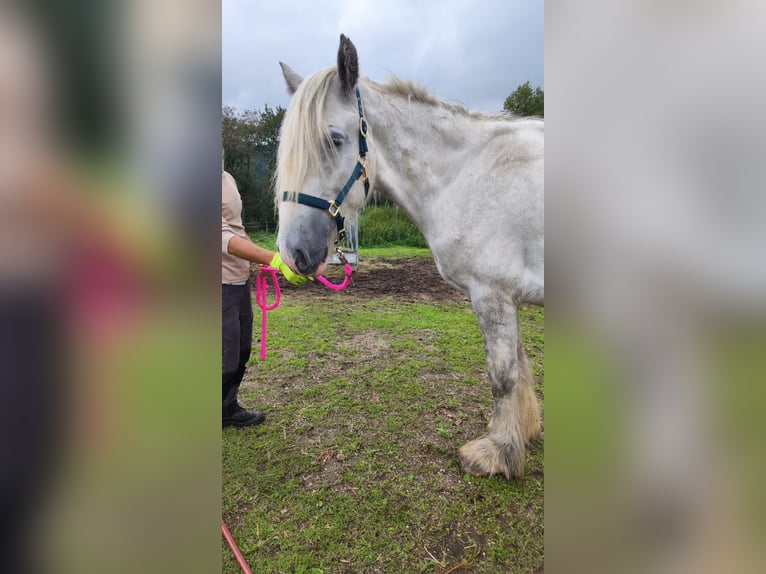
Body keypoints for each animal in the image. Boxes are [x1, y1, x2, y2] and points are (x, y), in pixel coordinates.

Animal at [274, 34, 543, 479]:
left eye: (334, 140)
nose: (293, 252)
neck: (465, 174)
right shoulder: (509, 297)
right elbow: (520, 366)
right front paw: (524, 431)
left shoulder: (493, 294)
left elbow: (503, 374)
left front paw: (498, 453)